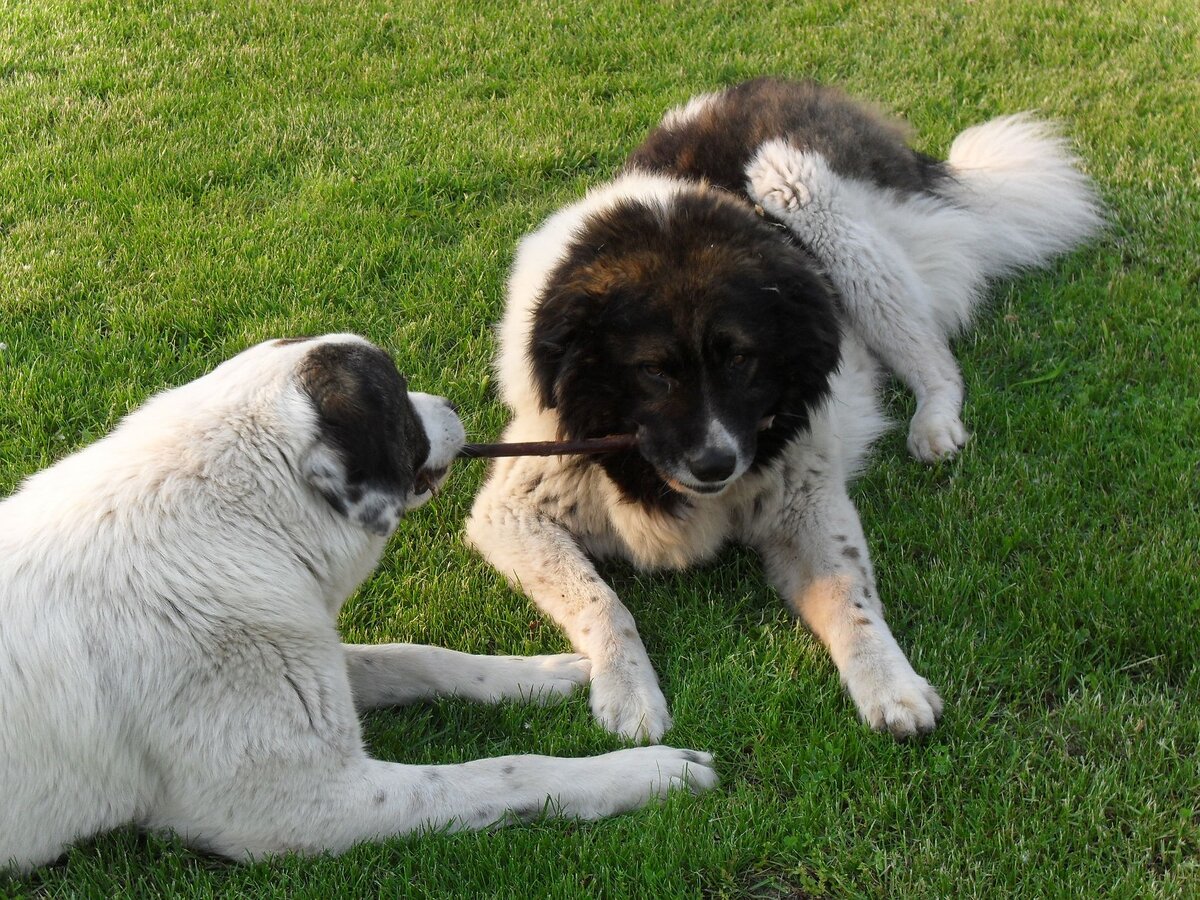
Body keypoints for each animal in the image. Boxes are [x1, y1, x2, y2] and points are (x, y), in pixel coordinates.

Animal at [0, 333, 710, 873]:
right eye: (398, 400)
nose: (451, 401)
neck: (237, 522)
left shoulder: (305, 656)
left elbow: (413, 656)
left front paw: (540, 675)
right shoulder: (303, 805)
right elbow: (506, 773)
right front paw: (649, 773)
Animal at [463, 77, 1099, 744]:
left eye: (741, 359)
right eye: (654, 371)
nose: (715, 465)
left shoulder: (807, 495)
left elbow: (849, 596)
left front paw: (891, 686)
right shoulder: (515, 506)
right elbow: (601, 600)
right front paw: (629, 692)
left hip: (801, 190)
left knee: (933, 353)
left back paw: (935, 424)